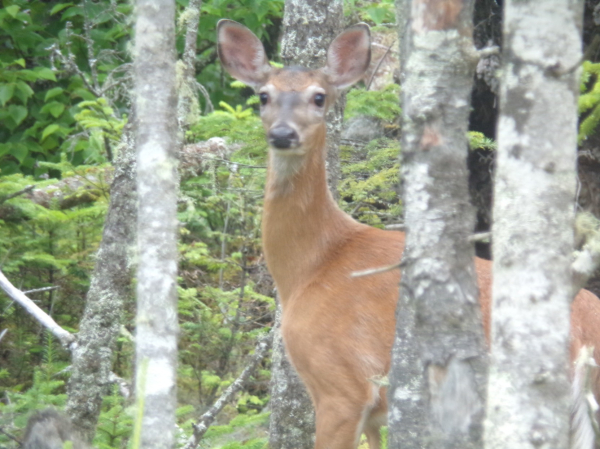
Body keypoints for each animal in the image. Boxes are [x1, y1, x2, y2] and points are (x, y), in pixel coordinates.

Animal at [218, 18, 600, 448]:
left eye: (319, 97)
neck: (310, 266)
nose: (283, 134)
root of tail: (587, 334)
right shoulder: (372, 414)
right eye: (263, 96)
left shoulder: (342, 384)